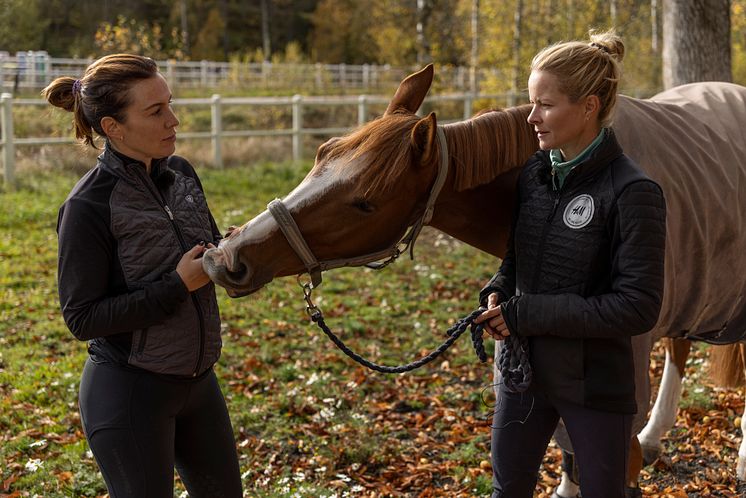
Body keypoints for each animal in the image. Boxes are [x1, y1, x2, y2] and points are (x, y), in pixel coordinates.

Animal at [205, 66, 746, 494]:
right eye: (322, 151)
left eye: (365, 202)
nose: (227, 255)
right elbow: (568, 451)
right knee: (681, 344)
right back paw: (658, 437)